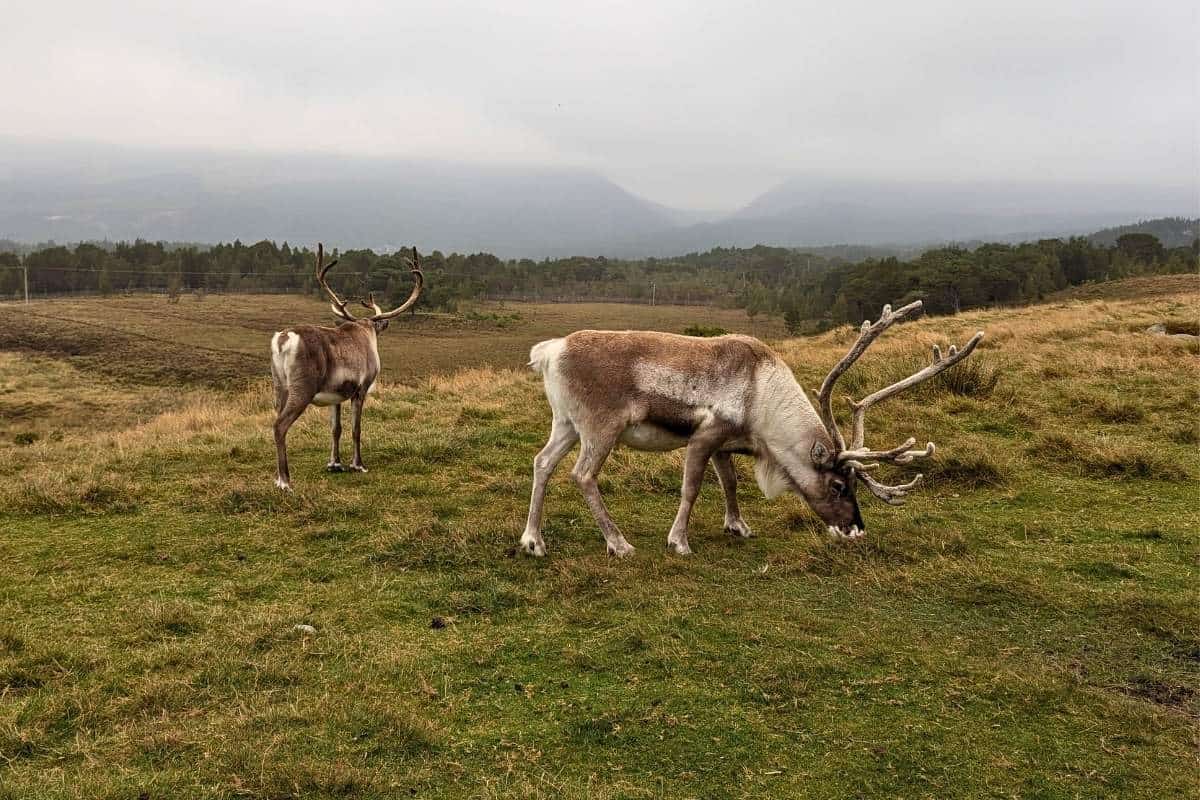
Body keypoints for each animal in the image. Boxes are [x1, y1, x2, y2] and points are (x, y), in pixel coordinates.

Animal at [269, 244, 424, 490]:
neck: (367, 331)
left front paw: (334, 463)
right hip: (302, 389)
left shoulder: (336, 395)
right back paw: (285, 481)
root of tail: (283, 339)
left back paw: (277, 478)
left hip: (279, 386)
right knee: (279, 426)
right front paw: (357, 464)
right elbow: (355, 428)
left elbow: (336, 429)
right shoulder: (360, 389)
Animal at [519, 300, 982, 557]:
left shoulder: (726, 444)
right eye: (837, 485)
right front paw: (679, 541)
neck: (763, 408)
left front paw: (737, 526)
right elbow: (691, 487)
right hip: (602, 426)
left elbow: (730, 483)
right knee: (582, 474)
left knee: (542, 462)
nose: (855, 529)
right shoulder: (706, 433)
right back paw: (618, 544)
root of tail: (549, 352)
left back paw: (533, 541)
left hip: (566, 422)